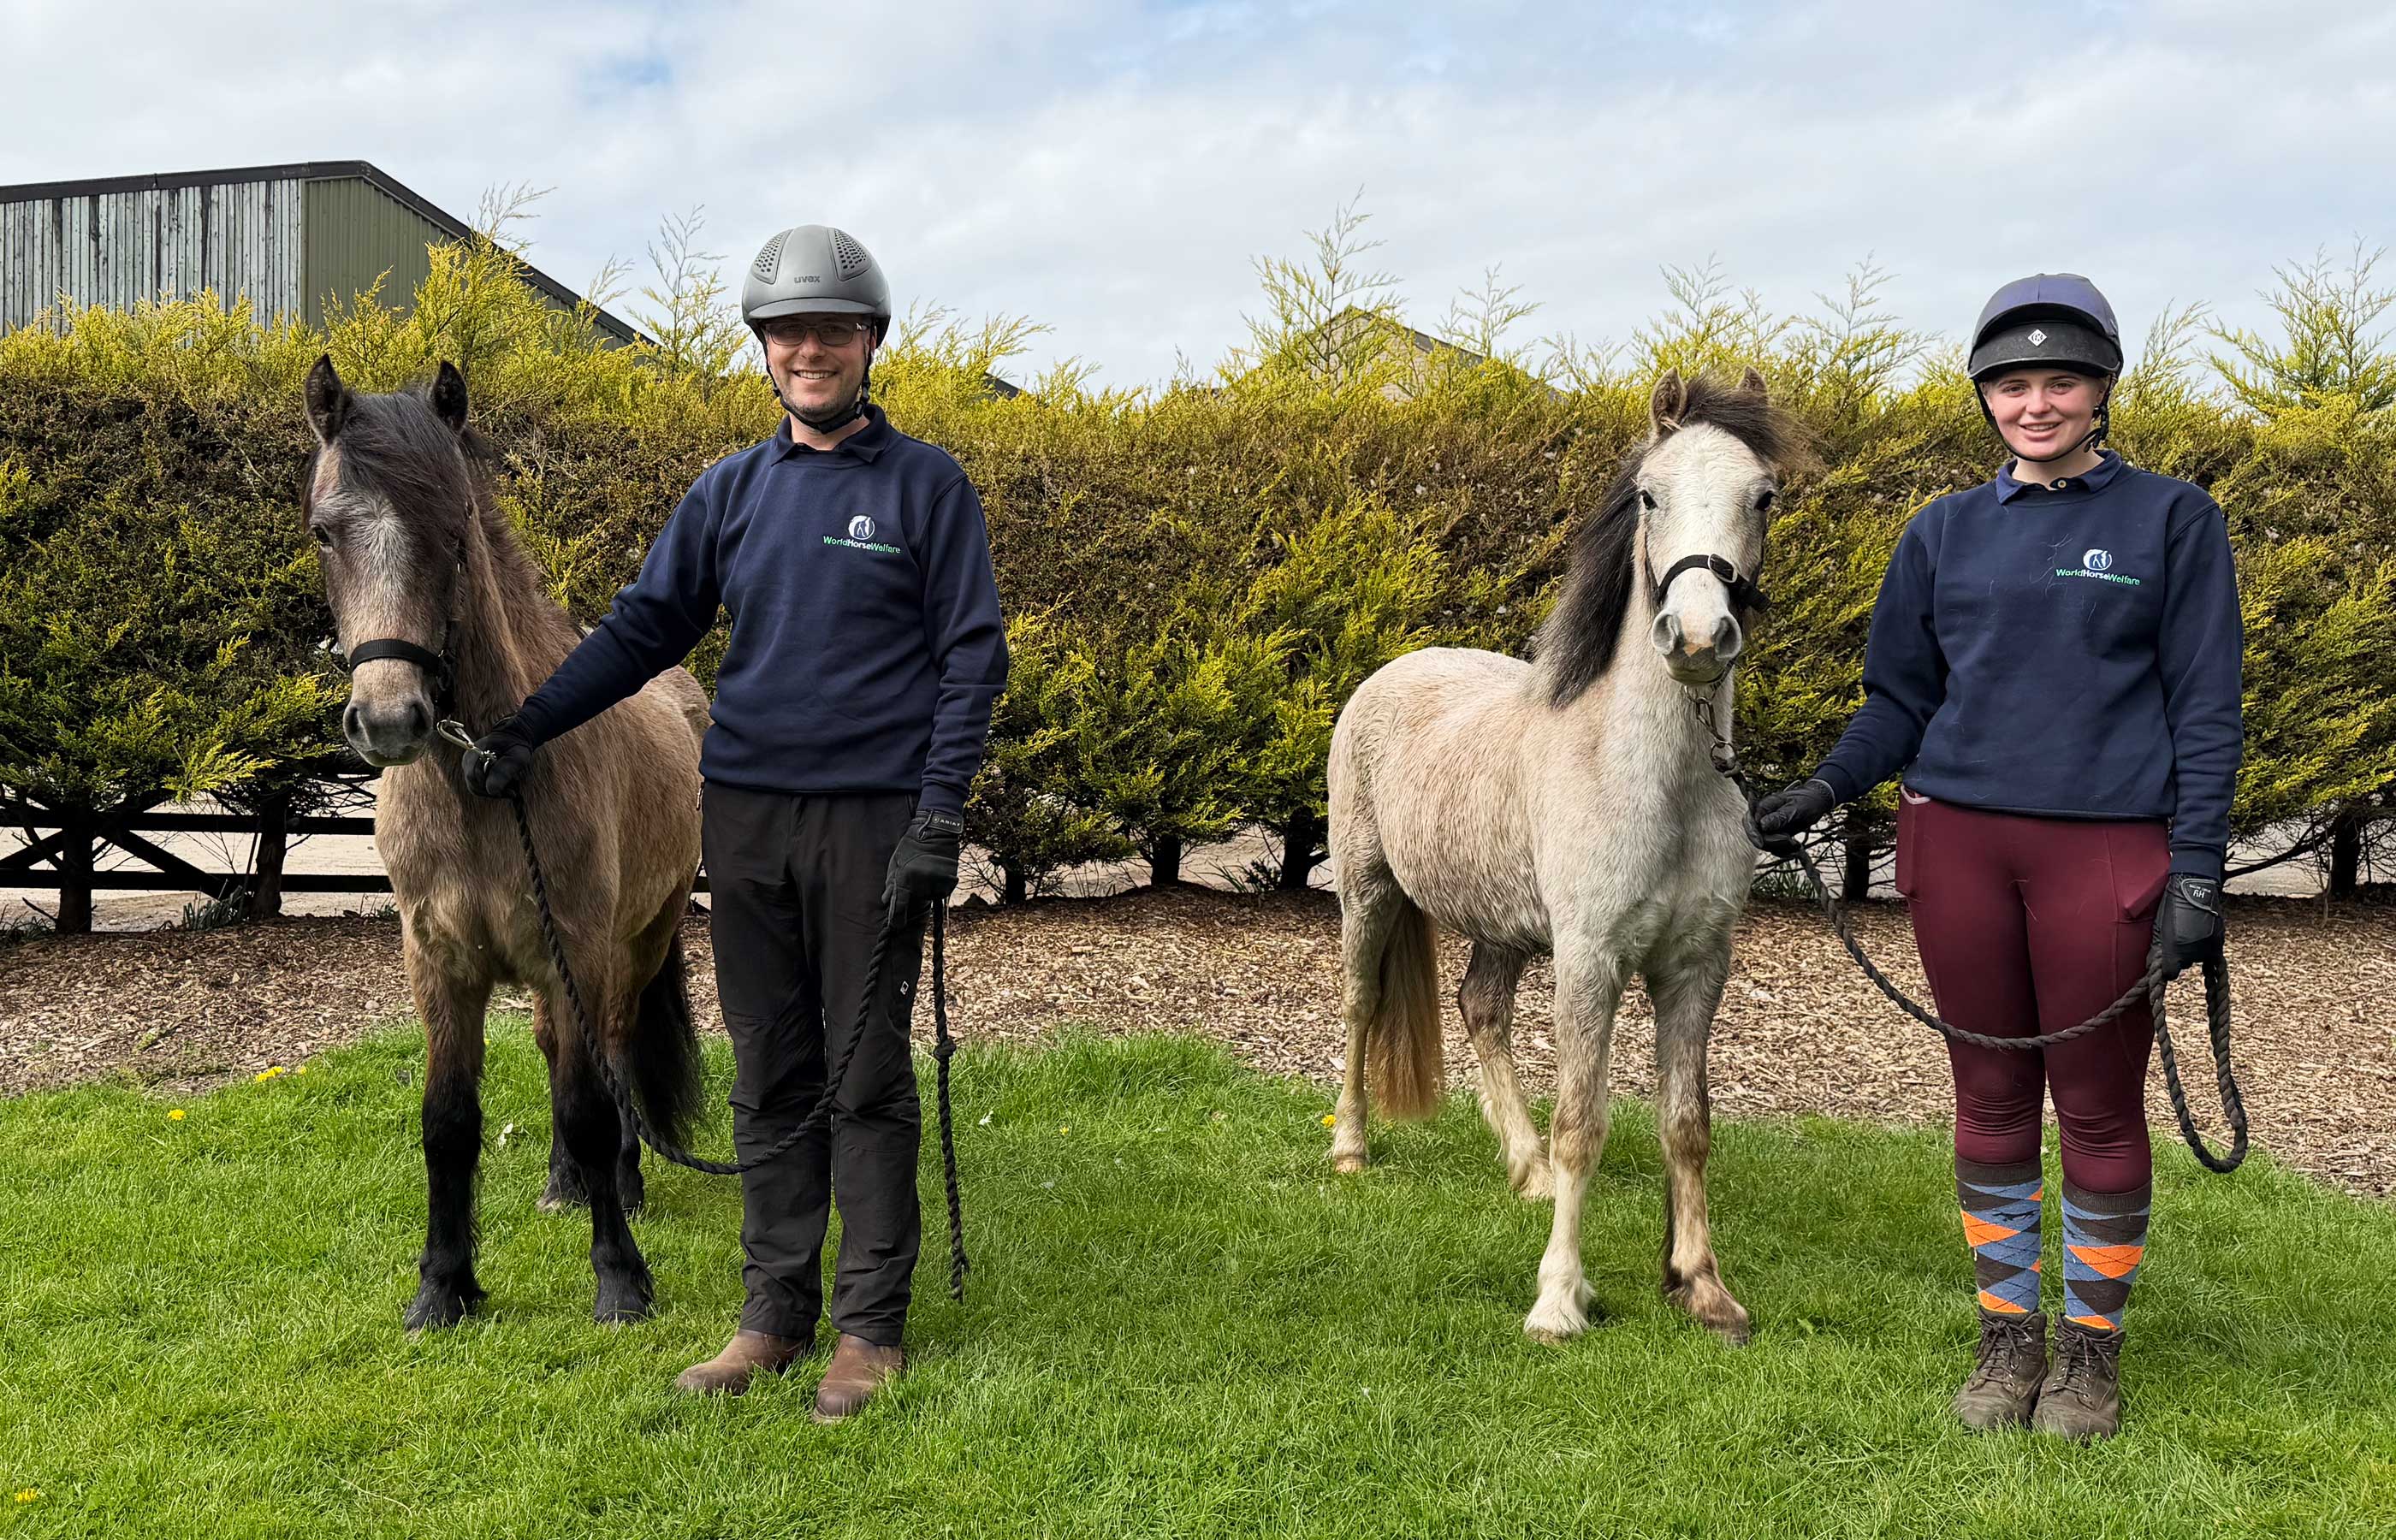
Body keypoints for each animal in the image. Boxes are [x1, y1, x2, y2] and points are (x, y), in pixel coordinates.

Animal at [301, 355, 711, 1328]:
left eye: (453, 531)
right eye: (325, 533)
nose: (389, 720)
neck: (487, 776)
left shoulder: (578, 953)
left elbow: (594, 1105)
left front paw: (620, 1279)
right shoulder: (439, 964)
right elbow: (448, 1122)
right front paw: (442, 1287)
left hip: (635, 947)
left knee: (608, 1055)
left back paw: (619, 1185)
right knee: (561, 1055)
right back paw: (565, 1185)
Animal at [1325, 368, 1795, 1346]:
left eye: (1763, 496)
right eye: (1650, 495)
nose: (1698, 639)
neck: (1652, 782)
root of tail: (1394, 671)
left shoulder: (1696, 966)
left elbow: (1687, 1123)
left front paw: (1701, 1286)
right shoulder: (1590, 960)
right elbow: (1584, 1120)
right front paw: (1558, 1299)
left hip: (1500, 928)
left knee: (1480, 1011)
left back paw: (1525, 1167)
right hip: (1368, 893)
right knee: (1358, 1006)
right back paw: (1350, 1147)